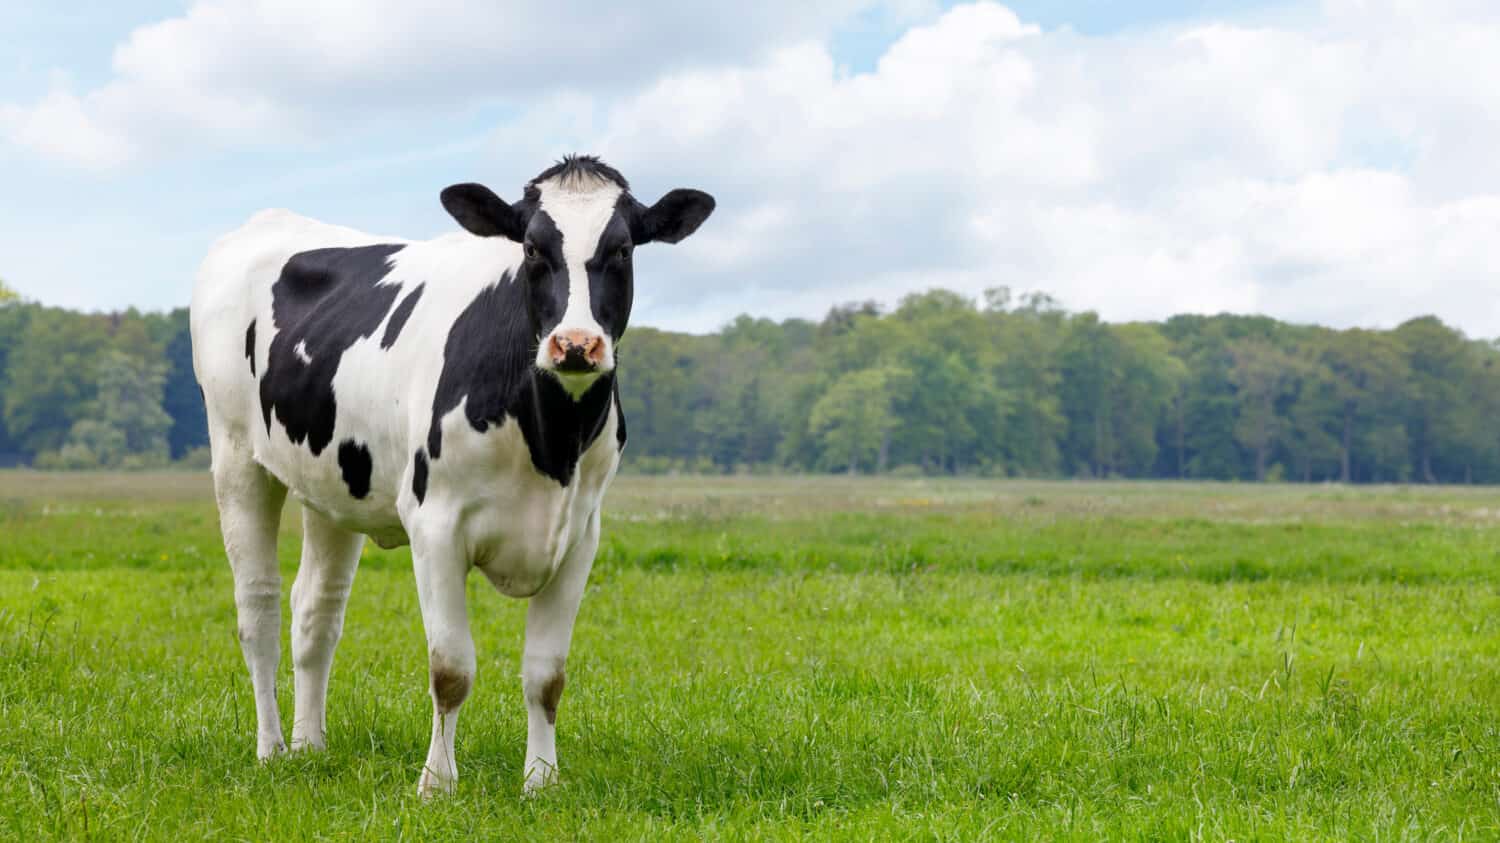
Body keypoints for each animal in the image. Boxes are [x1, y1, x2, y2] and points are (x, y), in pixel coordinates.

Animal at [190, 154, 717, 792]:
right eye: (532, 248)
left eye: (621, 249)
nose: (575, 345)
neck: (550, 441)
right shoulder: (434, 524)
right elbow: (451, 668)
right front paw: (437, 784)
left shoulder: (580, 535)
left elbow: (547, 675)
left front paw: (541, 781)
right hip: (236, 455)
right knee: (259, 606)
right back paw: (270, 749)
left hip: (331, 483)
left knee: (316, 609)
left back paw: (309, 747)